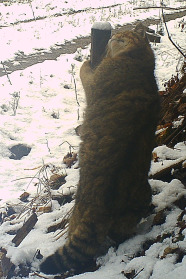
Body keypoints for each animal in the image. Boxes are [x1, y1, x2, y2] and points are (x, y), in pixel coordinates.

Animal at [40, 23, 160, 276]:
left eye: (124, 33)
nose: (115, 34)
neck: (139, 59)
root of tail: (102, 204)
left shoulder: (96, 81)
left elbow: (86, 72)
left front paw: (85, 61)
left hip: (77, 213)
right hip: (138, 202)